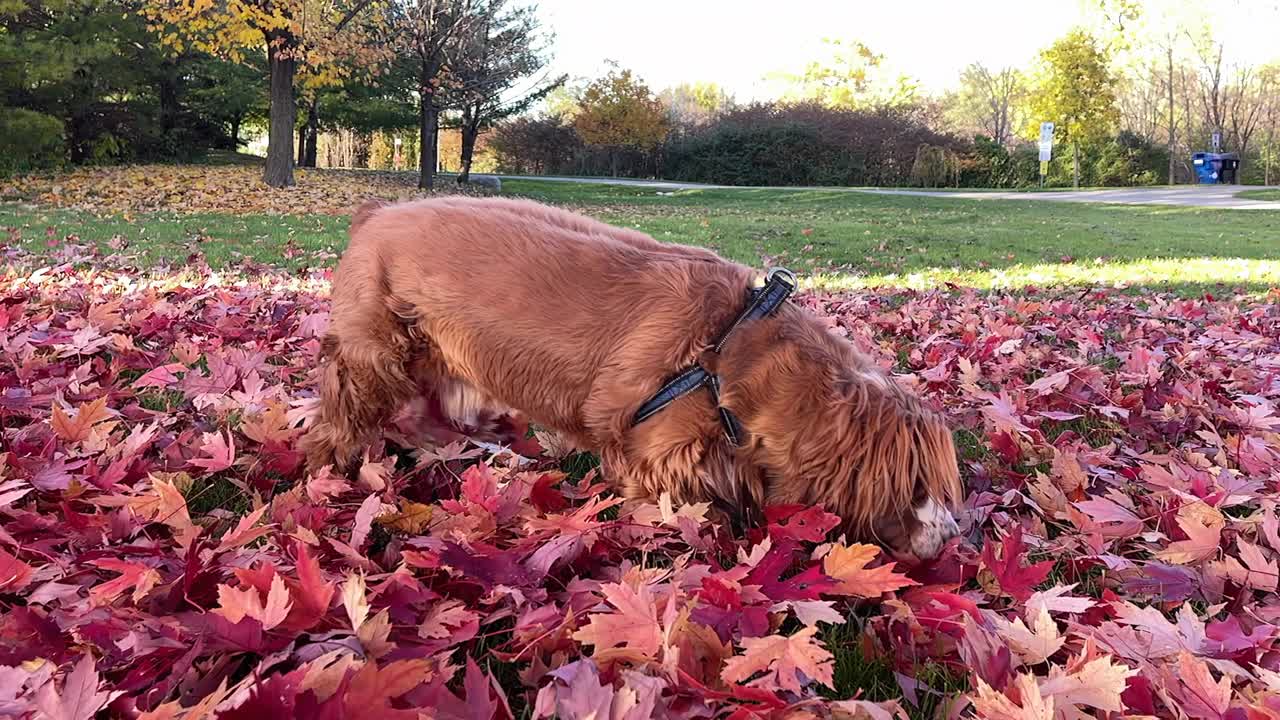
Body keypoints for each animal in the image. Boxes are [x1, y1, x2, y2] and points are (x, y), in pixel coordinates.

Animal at [302, 197, 962, 561]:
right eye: (917, 489)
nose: (956, 537)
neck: (729, 356)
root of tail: (376, 212)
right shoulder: (660, 462)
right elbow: (680, 516)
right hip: (372, 356)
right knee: (342, 421)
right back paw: (331, 475)